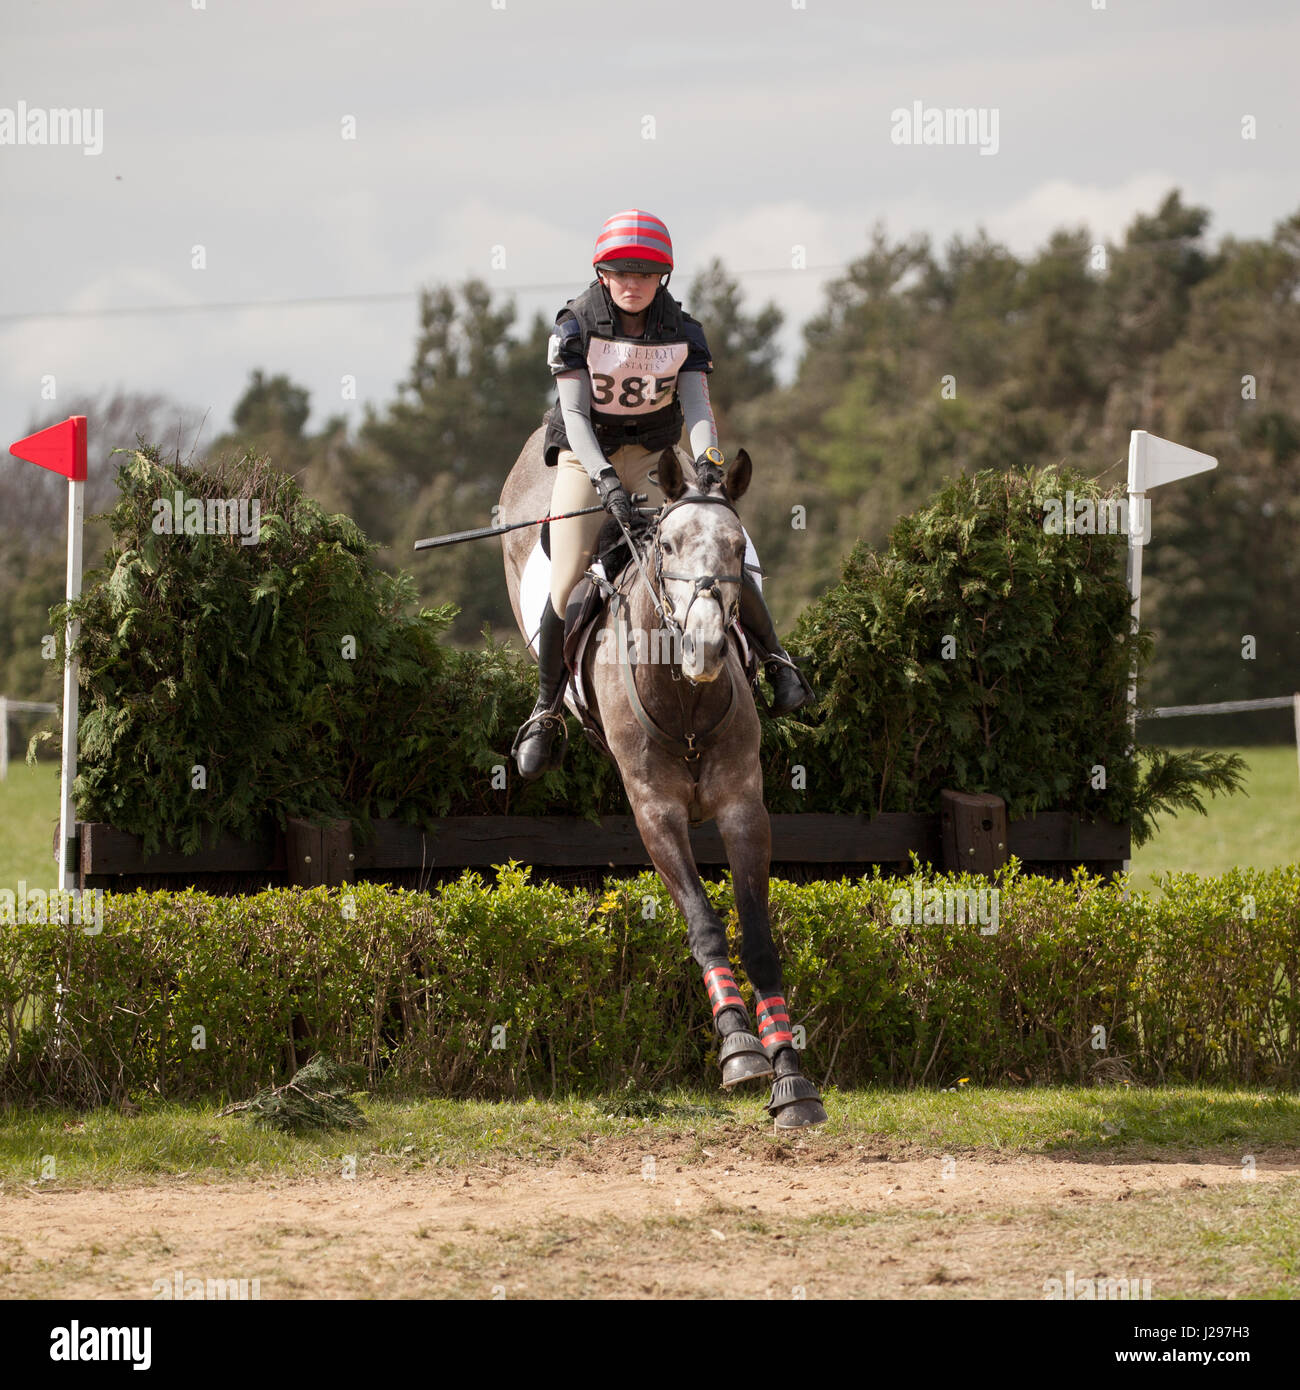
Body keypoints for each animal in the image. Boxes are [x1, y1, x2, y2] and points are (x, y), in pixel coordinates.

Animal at [497, 425, 823, 1128]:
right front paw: (739, 1048)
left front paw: (791, 1077)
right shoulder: (656, 813)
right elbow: (704, 923)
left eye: (736, 548)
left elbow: (758, 936)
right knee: (554, 609)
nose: (705, 646)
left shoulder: (743, 808)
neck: (687, 703)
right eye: (668, 546)